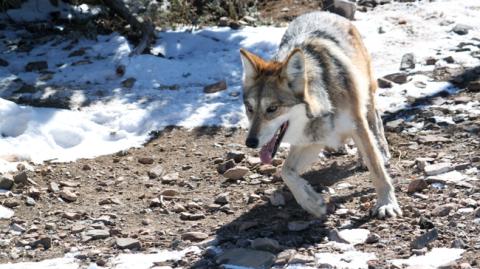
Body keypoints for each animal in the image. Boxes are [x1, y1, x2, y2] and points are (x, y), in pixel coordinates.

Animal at [240, 11, 402, 219]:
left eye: (272, 109)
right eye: (250, 108)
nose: (250, 142)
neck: (325, 101)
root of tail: (324, 12)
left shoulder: (356, 125)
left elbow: (377, 170)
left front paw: (386, 203)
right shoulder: (312, 140)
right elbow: (286, 172)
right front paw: (312, 202)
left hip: (367, 92)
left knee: (375, 120)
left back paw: (381, 151)